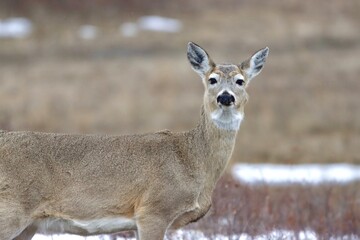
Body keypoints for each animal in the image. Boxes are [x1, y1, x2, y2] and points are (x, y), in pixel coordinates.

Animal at [0, 42, 268, 239]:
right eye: (212, 79)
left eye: (240, 81)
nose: (225, 97)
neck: (191, 161)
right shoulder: (154, 210)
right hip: (10, 211)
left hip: (28, 226)